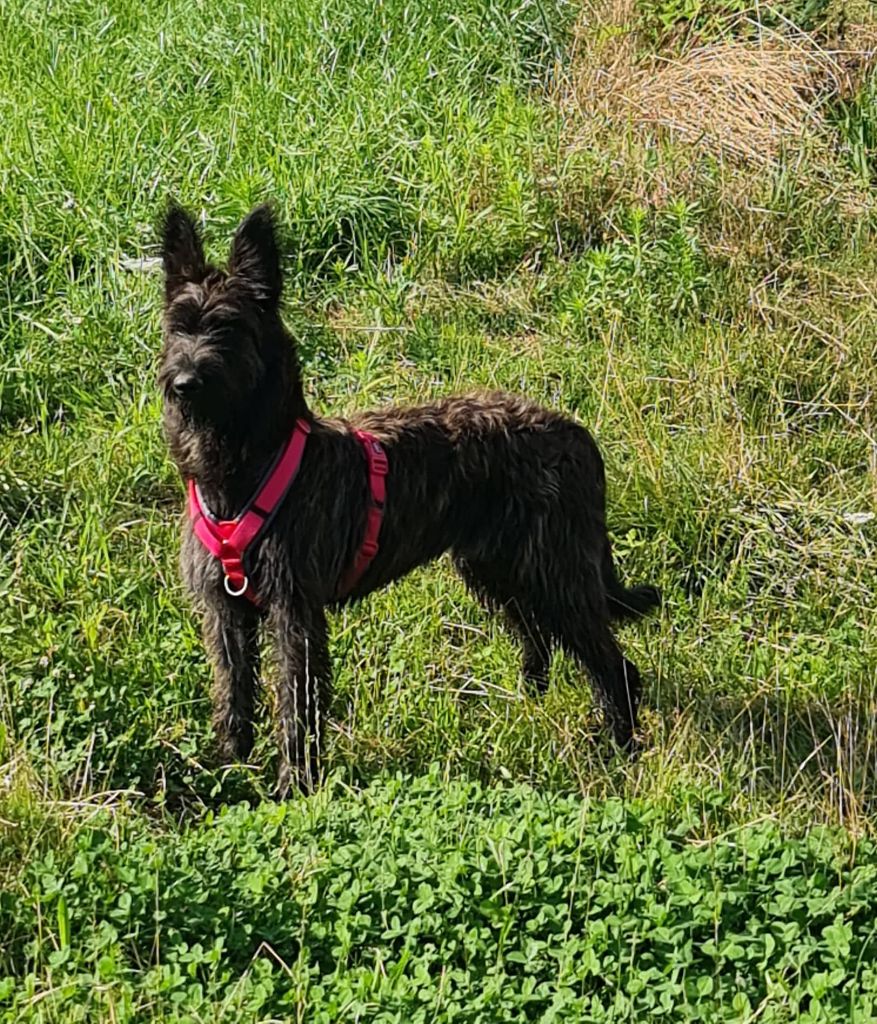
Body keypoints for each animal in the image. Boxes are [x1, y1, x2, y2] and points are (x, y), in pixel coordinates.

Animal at [157, 201, 655, 790]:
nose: (185, 382)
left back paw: (619, 747)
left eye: (229, 329)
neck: (247, 467)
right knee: (537, 635)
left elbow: (296, 702)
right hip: (501, 568)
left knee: (612, 663)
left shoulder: (294, 611)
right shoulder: (225, 609)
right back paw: (531, 698)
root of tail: (575, 432)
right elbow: (232, 690)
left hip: (558, 574)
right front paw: (230, 768)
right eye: (178, 327)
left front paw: (296, 783)